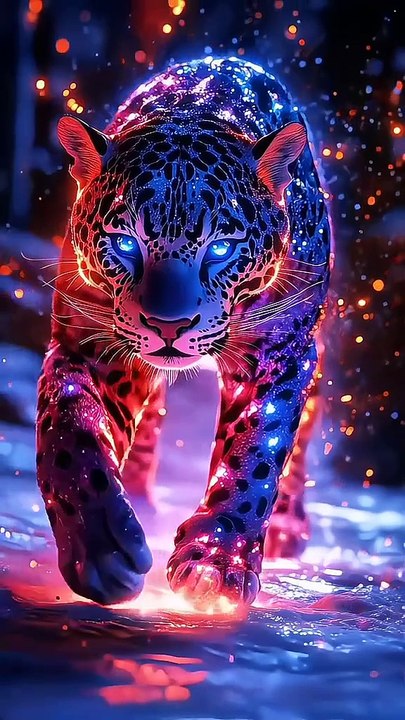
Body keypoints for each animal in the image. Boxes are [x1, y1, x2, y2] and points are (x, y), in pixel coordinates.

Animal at [36, 57, 330, 610]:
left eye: (221, 248)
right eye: (125, 242)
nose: (168, 325)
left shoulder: (283, 353)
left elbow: (257, 455)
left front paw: (217, 563)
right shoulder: (89, 346)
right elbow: (69, 434)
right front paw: (103, 548)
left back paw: (288, 527)